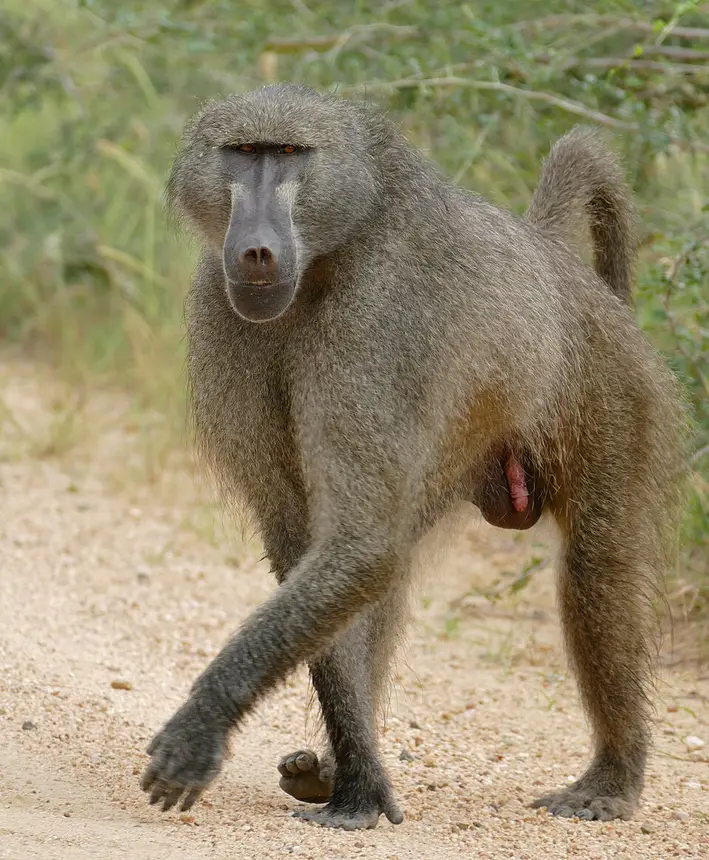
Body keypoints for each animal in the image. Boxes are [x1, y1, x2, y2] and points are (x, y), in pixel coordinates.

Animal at [140, 84, 687, 830]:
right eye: (243, 152)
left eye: (289, 154)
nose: (254, 250)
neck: (329, 258)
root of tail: (552, 258)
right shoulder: (222, 316)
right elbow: (318, 545)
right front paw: (358, 784)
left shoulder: (377, 322)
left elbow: (360, 544)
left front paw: (204, 724)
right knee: (381, 573)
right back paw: (332, 766)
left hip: (612, 393)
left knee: (593, 570)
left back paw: (613, 780)